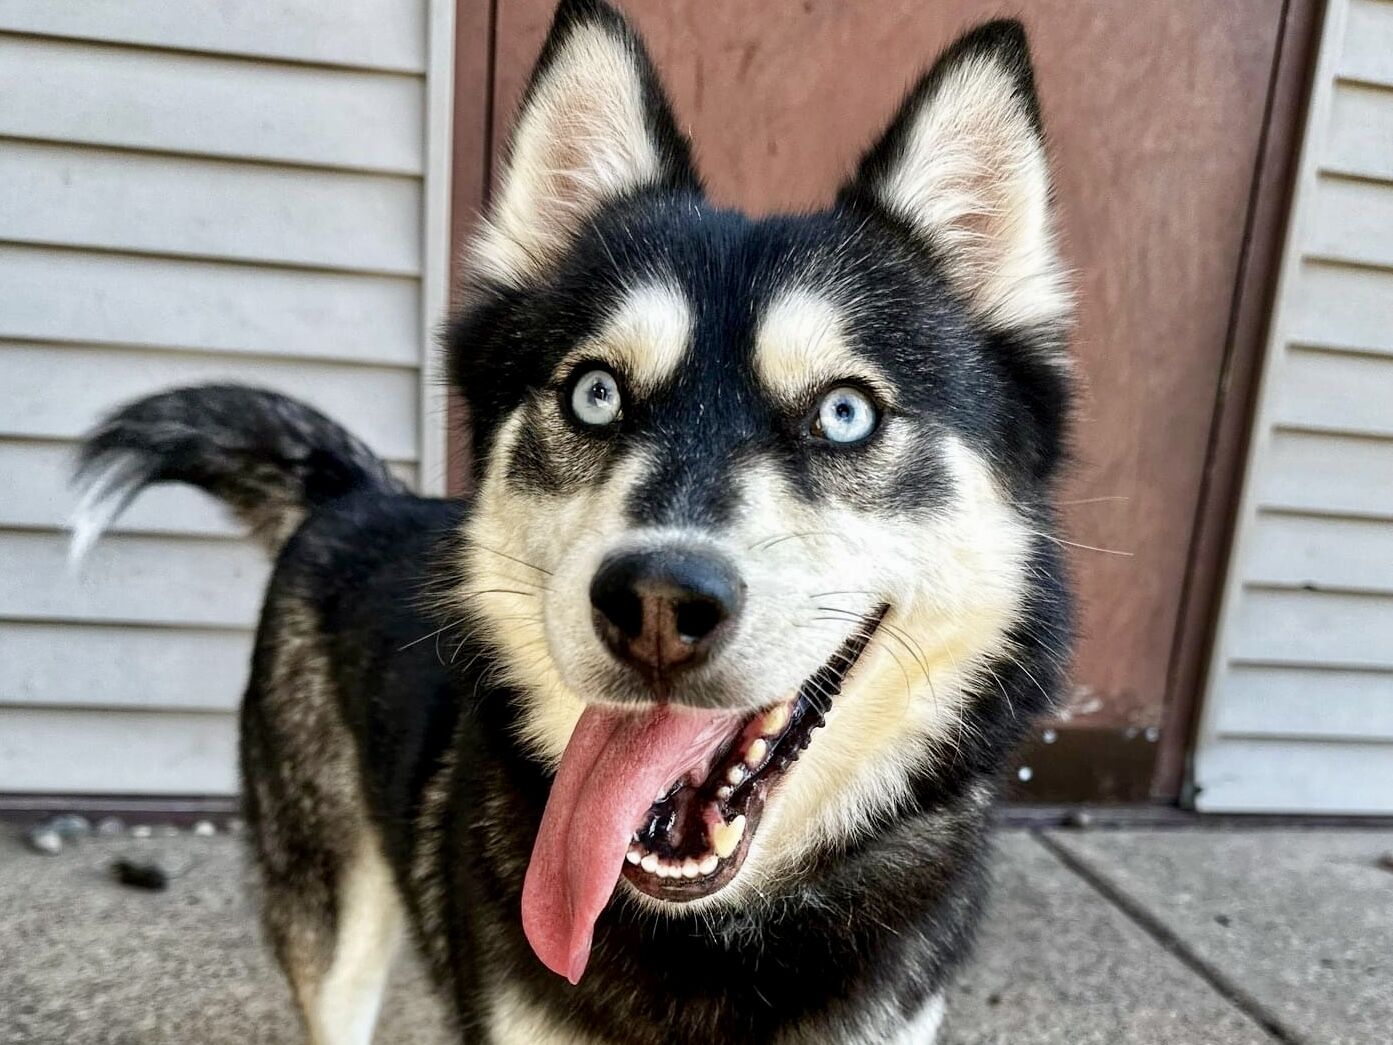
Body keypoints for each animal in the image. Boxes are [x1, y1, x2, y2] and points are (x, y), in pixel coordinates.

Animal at [73, 2, 1075, 1042]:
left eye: (845, 413)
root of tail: (358, 492)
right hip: (332, 911)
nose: (658, 602)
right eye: (595, 394)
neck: (710, 943)